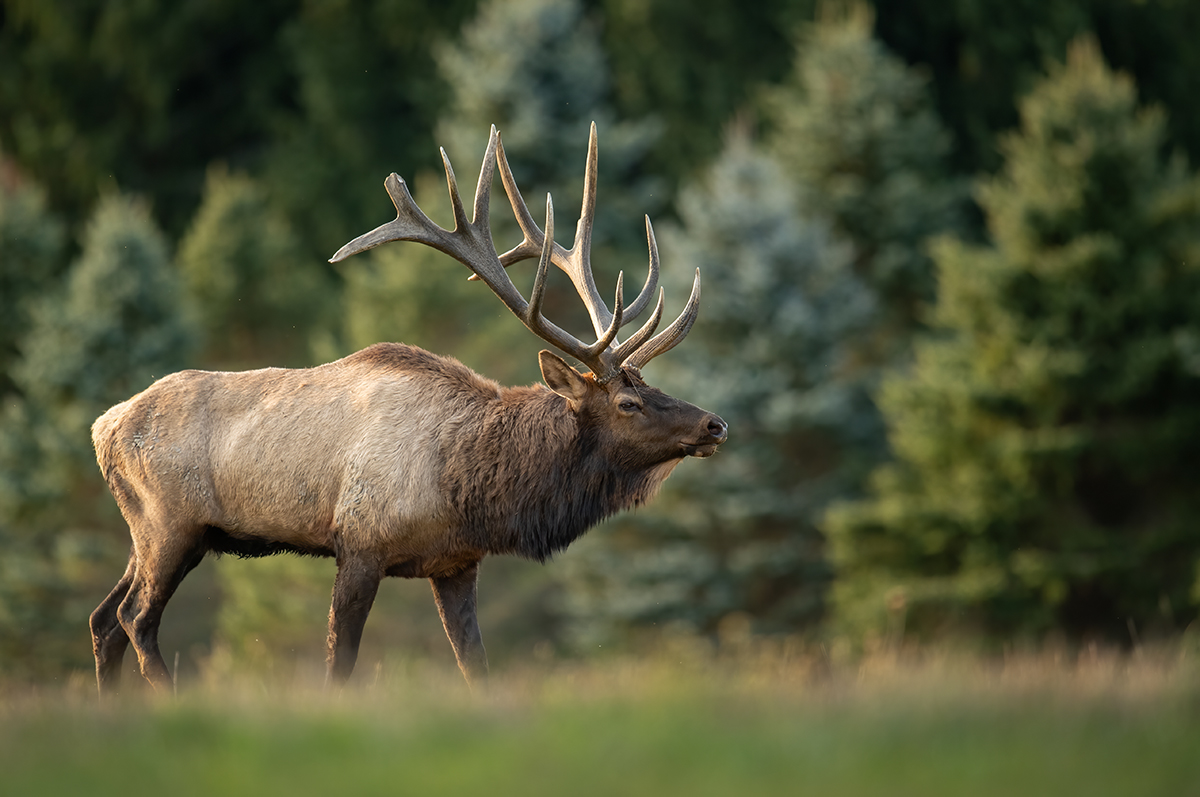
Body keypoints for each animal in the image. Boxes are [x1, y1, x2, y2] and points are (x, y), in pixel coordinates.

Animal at [88, 123, 727, 695]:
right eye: (628, 401)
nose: (714, 423)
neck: (469, 484)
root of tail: (103, 426)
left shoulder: (455, 563)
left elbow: (476, 668)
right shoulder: (359, 543)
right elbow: (340, 663)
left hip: (151, 532)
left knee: (103, 619)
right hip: (170, 522)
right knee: (135, 618)